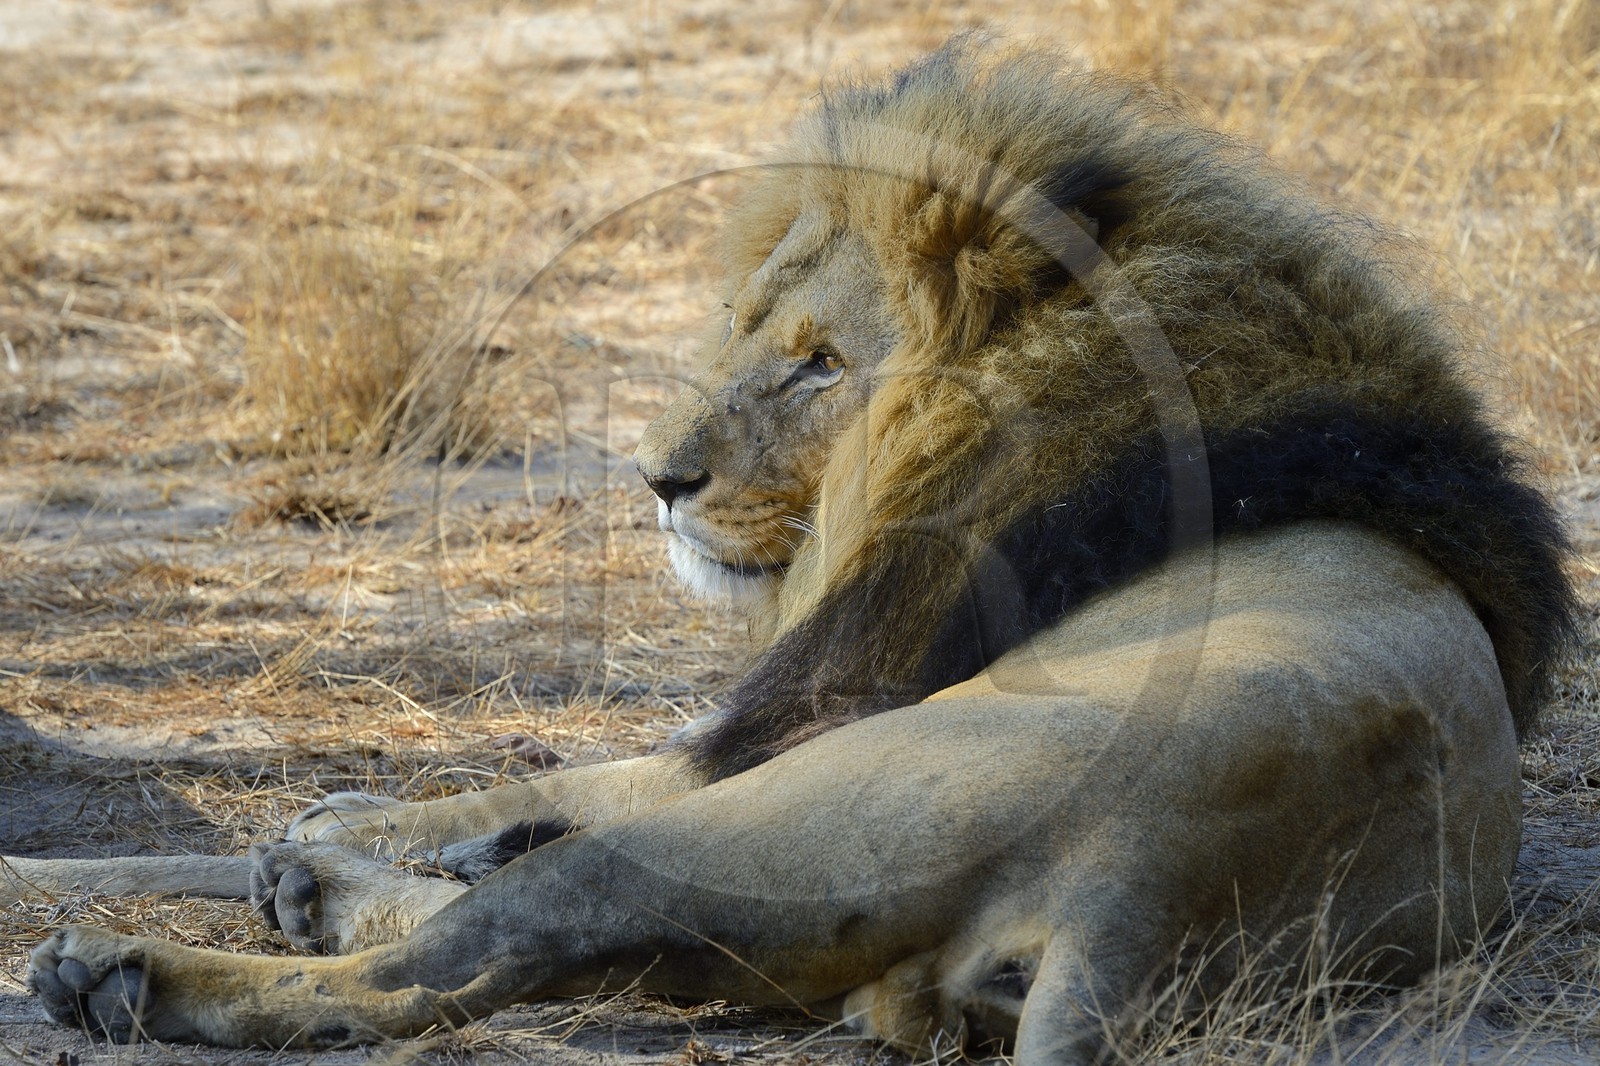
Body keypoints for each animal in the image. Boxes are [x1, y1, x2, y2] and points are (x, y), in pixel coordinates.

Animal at [13, 40, 1577, 1063]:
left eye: (821, 362)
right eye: (753, 329)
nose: (658, 481)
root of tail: (1145, 880)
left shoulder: (803, 706)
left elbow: (572, 768)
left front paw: (333, 825)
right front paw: (355, 818)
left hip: (802, 807)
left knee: (460, 955)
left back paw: (151, 957)